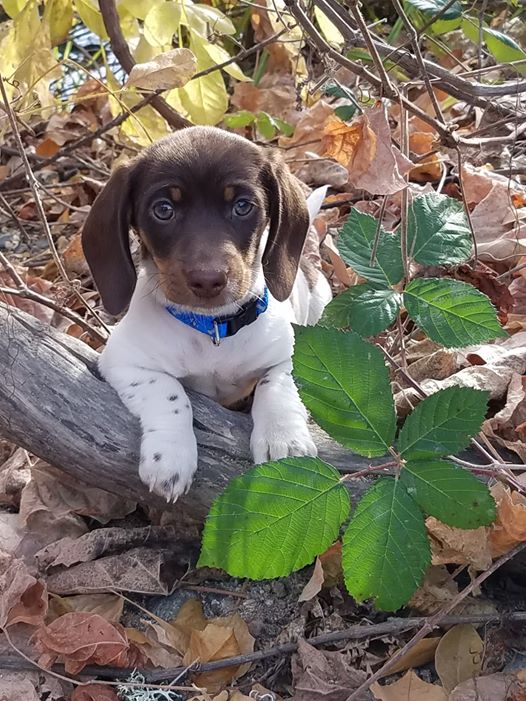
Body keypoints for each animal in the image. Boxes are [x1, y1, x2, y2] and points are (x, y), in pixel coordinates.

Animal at [82, 124, 332, 498]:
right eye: (163, 210)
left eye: (243, 206)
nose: (208, 279)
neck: (213, 328)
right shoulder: (124, 361)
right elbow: (169, 393)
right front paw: (170, 455)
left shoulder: (290, 353)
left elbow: (277, 384)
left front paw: (283, 439)